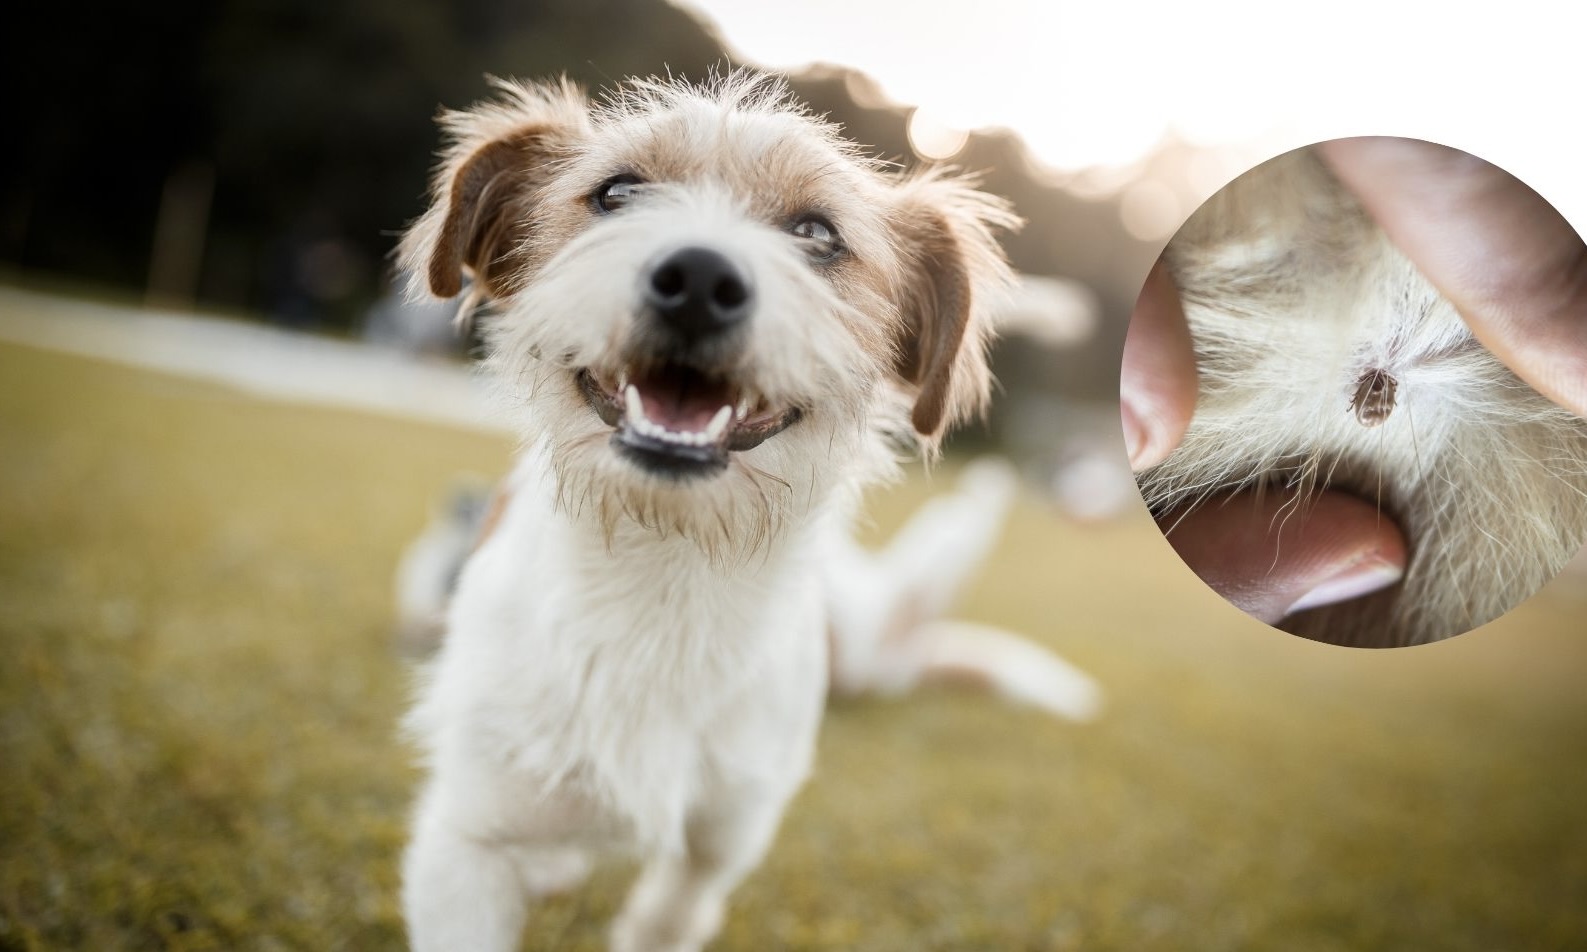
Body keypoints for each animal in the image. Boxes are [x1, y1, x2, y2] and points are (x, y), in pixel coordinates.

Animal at [393, 76, 1104, 952]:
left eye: (816, 232)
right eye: (616, 193)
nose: (698, 277)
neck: (663, 567)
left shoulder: (726, 830)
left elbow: (671, 910)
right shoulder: (468, 839)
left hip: (865, 632)